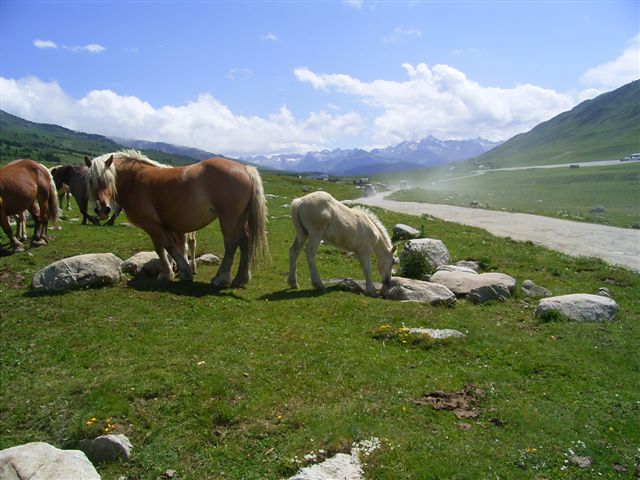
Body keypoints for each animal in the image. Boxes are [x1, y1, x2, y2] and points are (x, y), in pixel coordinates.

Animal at [85, 150, 268, 284]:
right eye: (91, 181)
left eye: (109, 179)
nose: (103, 209)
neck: (135, 180)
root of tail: (244, 168)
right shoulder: (166, 226)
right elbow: (168, 247)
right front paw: (176, 270)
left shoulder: (152, 225)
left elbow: (164, 246)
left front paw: (174, 273)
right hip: (240, 220)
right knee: (245, 243)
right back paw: (241, 278)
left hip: (228, 219)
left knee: (231, 244)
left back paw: (220, 278)